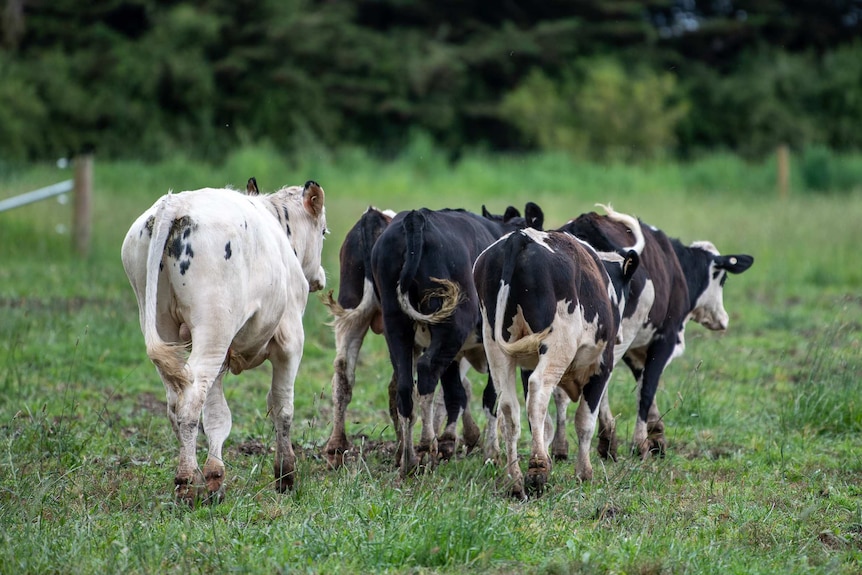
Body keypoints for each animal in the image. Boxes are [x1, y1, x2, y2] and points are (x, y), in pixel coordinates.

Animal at [118, 182, 328, 506]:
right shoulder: (291, 340)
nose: (320, 277)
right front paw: (285, 475)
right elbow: (282, 406)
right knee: (190, 401)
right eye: (324, 232)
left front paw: (216, 477)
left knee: (177, 402)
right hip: (213, 329)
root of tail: (175, 203)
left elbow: (218, 415)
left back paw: (191, 476)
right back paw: (186, 481)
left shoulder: (223, 356)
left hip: (167, 326)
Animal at [372, 205, 548, 474]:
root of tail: (416, 217)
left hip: (395, 322)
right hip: (453, 323)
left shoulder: (455, 356)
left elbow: (455, 393)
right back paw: (427, 444)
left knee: (405, 384)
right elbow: (490, 395)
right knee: (426, 370)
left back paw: (409, 459)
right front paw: (491, 452)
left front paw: (449, 441)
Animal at [472, 206, 648, 500]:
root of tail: (520, 240)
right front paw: (584, 472)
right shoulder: (602, 364)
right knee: (538, 391)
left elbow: (543, 422)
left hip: (496, 347)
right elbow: (585, 420)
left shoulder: (527, 363)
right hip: (558, 346)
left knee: (509, 408)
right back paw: (537, 472)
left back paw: (515, 479)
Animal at [560, 214, 756, 462]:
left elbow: (643, 383)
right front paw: (640, 445)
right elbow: (647, 389)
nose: (723, 320)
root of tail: (586, 222)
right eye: (722, 279)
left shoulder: (636, 348)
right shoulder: (664, 339)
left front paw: (656, 436)